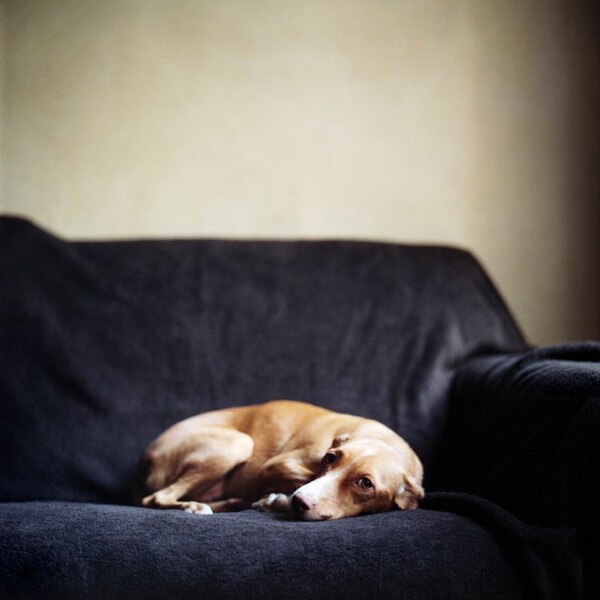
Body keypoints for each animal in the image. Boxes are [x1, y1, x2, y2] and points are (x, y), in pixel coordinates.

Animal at [137, 398, 426, 520]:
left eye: (365, 484)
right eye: (329, 458)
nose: (299, 503)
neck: (386, 442)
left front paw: (277, 501)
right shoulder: (276, 466)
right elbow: (304, 478)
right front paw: (279, 501)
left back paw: (231, 503)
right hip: (237, 443)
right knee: (155, 498)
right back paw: (194, 507)